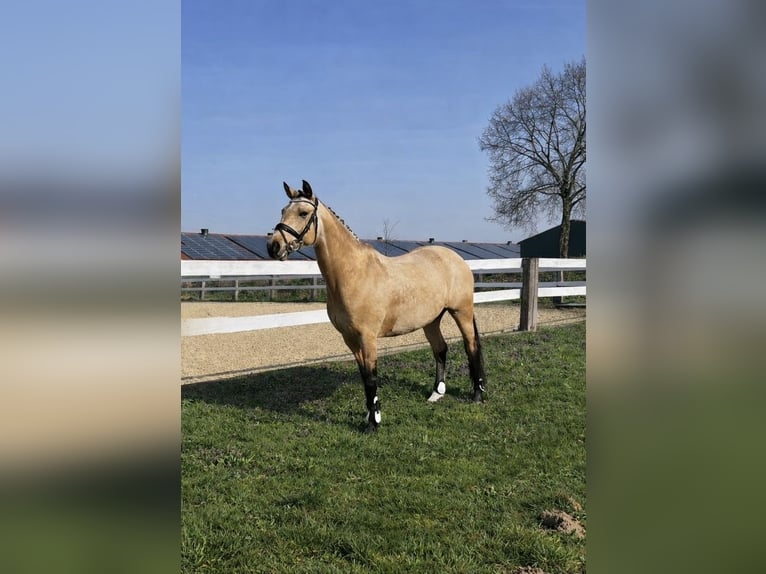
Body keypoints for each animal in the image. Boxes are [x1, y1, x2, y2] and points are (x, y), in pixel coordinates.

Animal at [268, 180, 487, 432]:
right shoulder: (350, 338)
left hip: (462, 312)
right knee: (440, 349)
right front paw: (369, 415)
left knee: (471, 347)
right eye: (283, 211)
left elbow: (372, 377)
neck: (353, 274)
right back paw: (436, 393)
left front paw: (374, 423)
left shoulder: (368, 337)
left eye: (303, 213)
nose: (273, 246)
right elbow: (364, 377)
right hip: (431, 319)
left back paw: (477, 394)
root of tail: (456, 259)